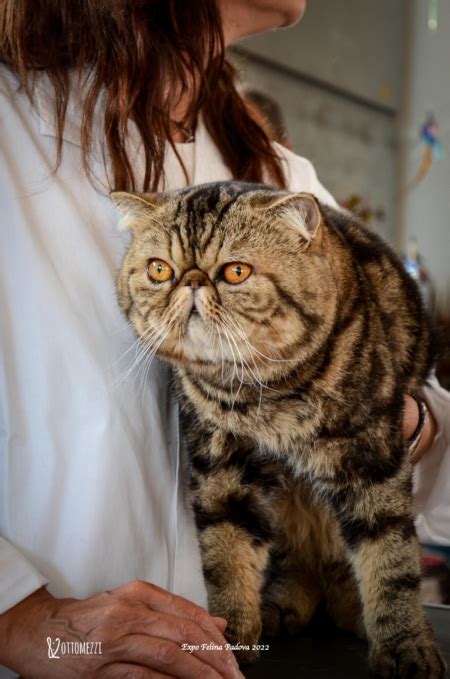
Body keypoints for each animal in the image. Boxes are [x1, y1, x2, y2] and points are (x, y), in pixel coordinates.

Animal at [113, 182, 446, 679]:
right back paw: (278, 607)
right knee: (298, 571)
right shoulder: (222, 466)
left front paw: (406, 644)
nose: (191, 281)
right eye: (159, 270)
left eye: (235, 272)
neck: (262, 396)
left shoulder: (373, 459)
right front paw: (230, 632)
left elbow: (392, 559)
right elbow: (226, 550)